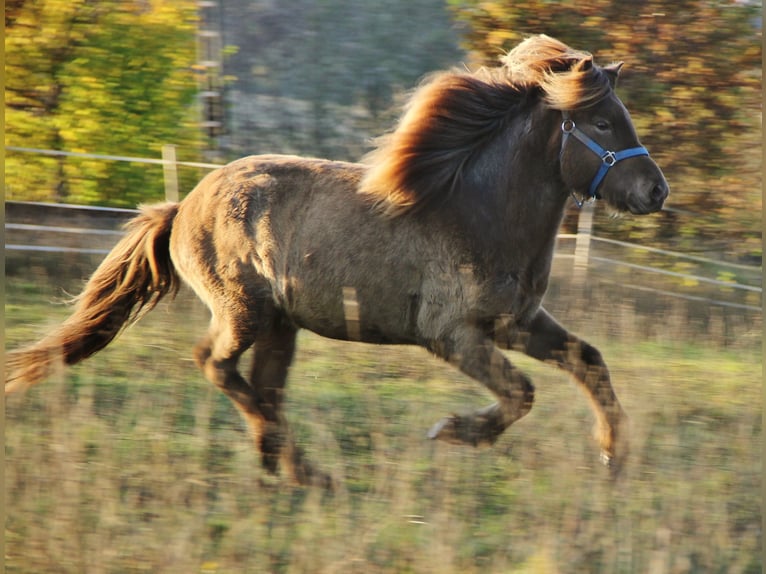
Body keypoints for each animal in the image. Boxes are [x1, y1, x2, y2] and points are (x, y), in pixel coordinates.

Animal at [6, 36, 664, 486]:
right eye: (603, 122)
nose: (656, 191)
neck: (479, 211)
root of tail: (183, 205)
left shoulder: (517, 323)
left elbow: (588, 362)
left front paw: (614, 457)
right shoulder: (452, 334)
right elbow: (521, 393)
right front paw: (453, 432)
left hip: (280, 325)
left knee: (263, 386)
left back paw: (288, 467)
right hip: (244, 311)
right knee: (216, 365)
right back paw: (298, 465)